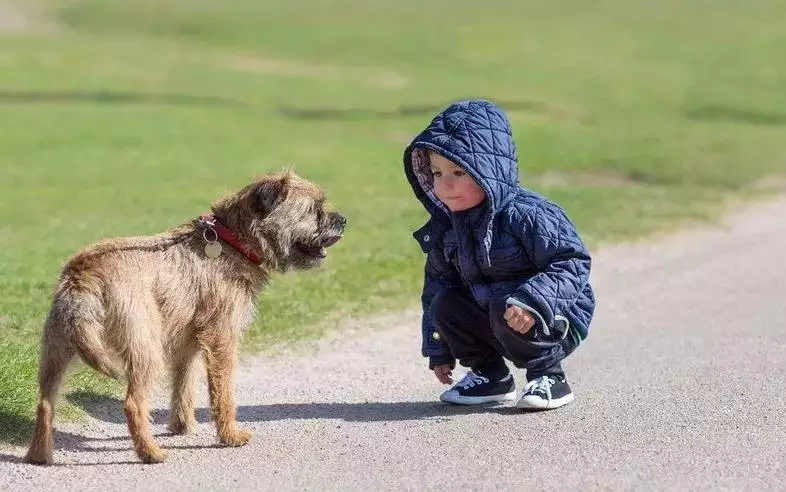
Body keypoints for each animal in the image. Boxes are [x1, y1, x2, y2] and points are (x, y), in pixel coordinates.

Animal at [24, 170, 344, 466]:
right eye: (314, 209)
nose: (343, 219)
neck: (232, 240)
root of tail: (84, 275)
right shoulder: (222, 338)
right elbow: (223, 391)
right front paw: (230, 435)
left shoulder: (188, 344)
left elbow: (184, 385)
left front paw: (182, 426)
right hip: (145, 349)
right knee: (133, 404)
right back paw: (151, 453)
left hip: (55, 352)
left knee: (45, 403)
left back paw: (39, 455)